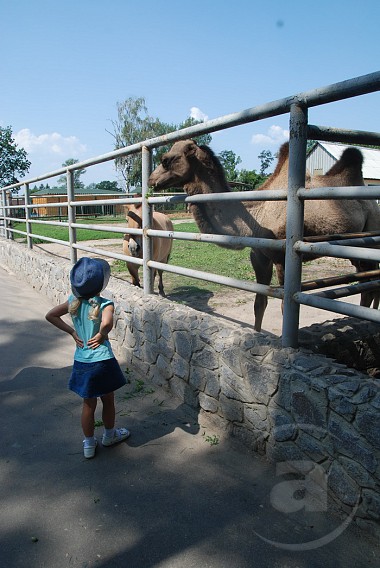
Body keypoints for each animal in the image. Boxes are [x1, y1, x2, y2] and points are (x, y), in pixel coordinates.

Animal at [149, 139, 380, 330]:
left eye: (166, 160)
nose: (151, 179)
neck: (257, 217)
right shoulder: (259, 255)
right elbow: (259, 303)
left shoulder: (284, 259)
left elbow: (285, 306)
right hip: (354, 248)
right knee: (367, 283)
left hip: (369, 238)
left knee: (371, 283)